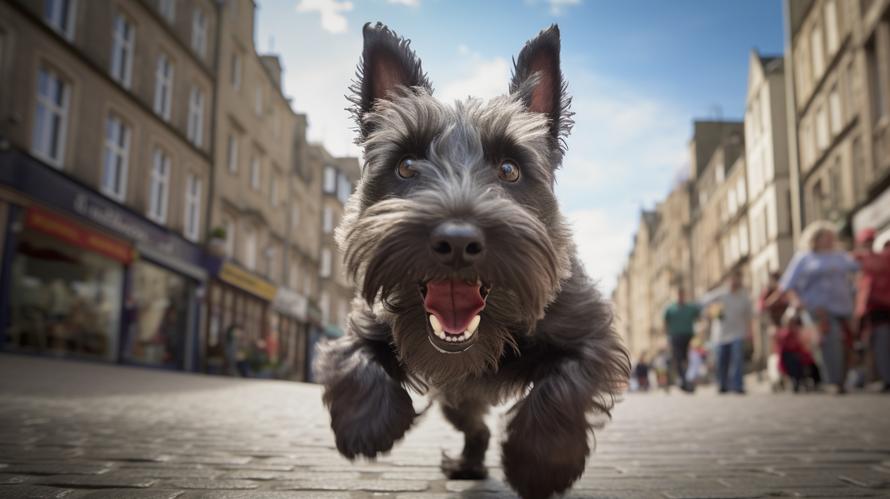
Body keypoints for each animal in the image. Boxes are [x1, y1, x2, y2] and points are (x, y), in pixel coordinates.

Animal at [316, 23, 628, 499]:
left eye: (510, 169)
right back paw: (466, 464)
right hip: (457, 397)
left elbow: (564, 386)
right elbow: (354, 356)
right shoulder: (366, 321)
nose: (457, 241)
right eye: (406, 165)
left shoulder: (591, 336)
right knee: (475, 428)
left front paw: (540, 462)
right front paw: (365, 423)